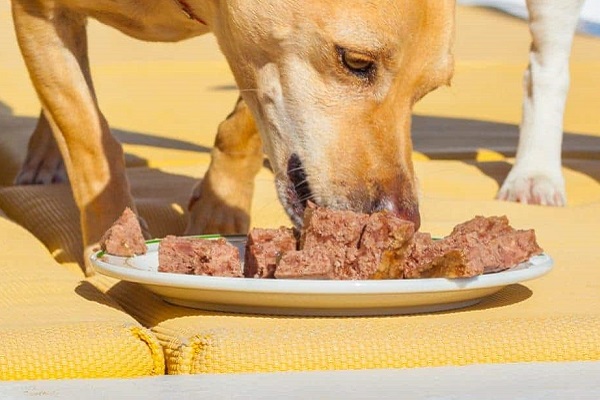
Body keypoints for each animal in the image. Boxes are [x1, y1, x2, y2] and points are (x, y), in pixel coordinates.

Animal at [9, 0, 580, 274]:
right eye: (356, 62)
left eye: (427, 91)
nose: (404, 223)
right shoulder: (38, 13)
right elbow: (89, 135)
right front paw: (111, 236)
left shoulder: (254, 54)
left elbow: (246, 125)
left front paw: (219, 212)